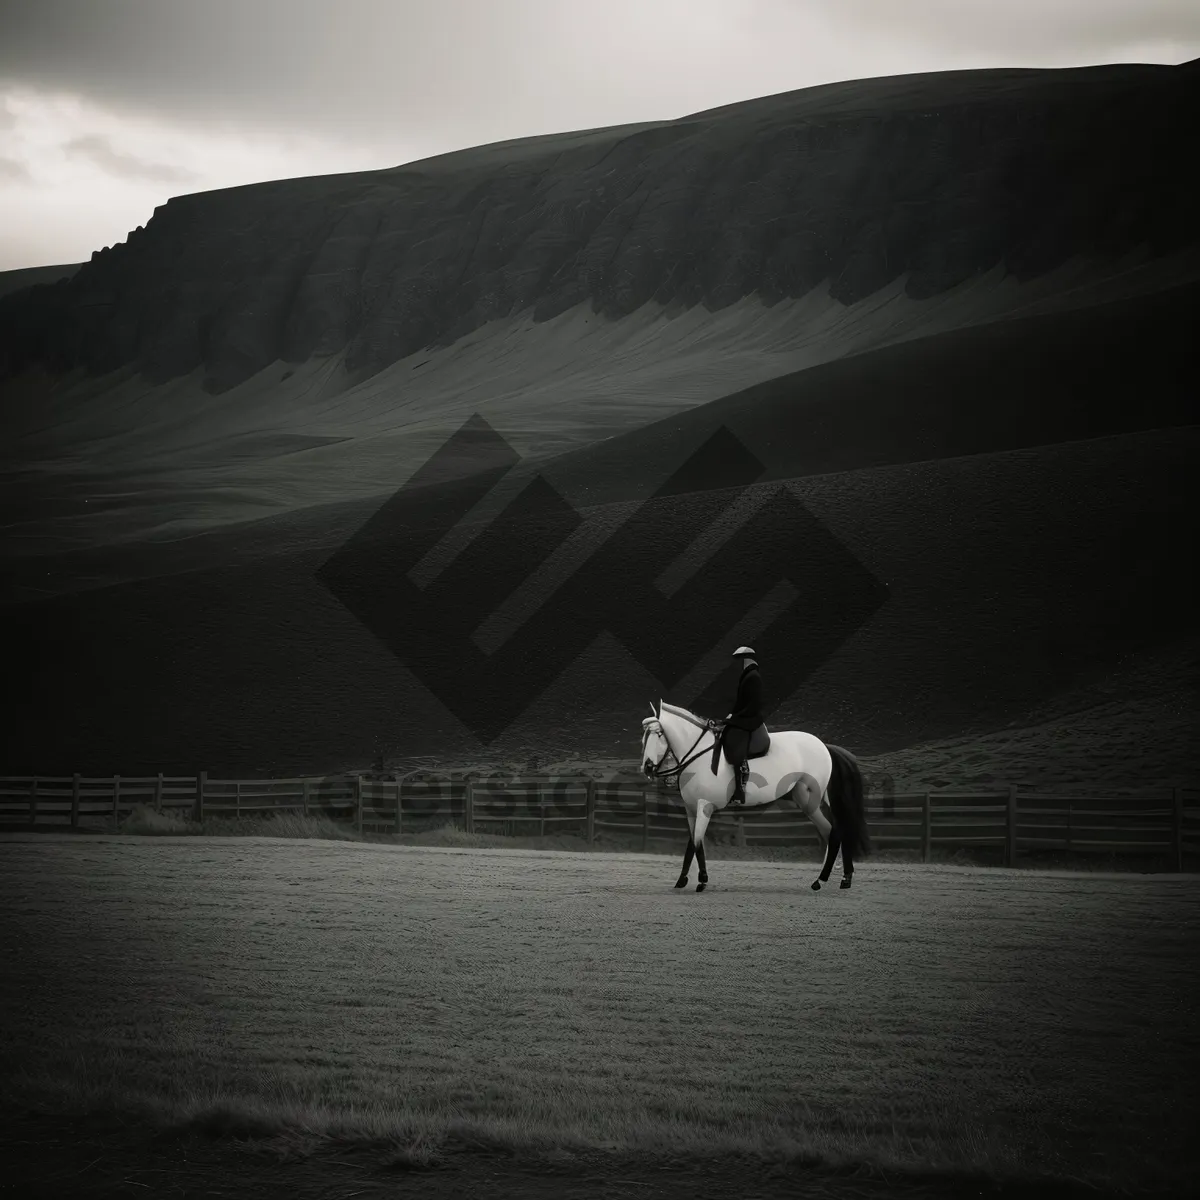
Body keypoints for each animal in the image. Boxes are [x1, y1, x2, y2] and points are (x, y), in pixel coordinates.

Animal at [643, 700, 868, 892]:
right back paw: (839, 879)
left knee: (836, 831)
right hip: (809, 801)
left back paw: (824, 879)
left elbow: (698, 841)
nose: (647, 767)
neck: (701, 756)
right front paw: (682, 880)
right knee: (835, 831)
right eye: (645, 736)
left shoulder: (705, 806)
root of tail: (825, 747)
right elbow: (691, 844)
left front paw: (702, 881)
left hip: (819, 800)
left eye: (660, 734)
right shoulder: (691, 808)